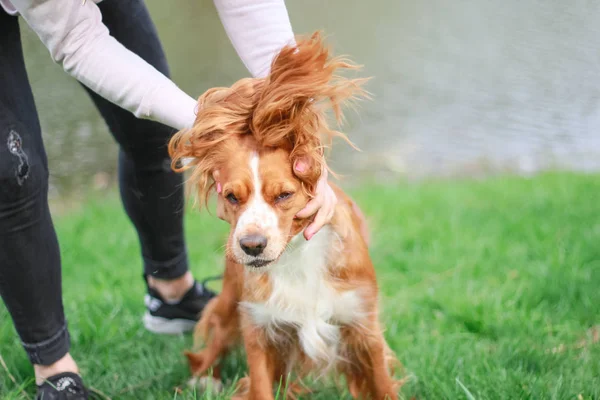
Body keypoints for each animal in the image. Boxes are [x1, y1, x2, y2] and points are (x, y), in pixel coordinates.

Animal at [169, 32, 404, 400]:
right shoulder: (260, 327)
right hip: (231, 295)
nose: (251, 246)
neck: (297, 257)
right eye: (232, 197)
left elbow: (380, 385)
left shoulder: (361, 324)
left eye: (283, 195)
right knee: (217, 330)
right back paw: (204, 377)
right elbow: (260, 383)